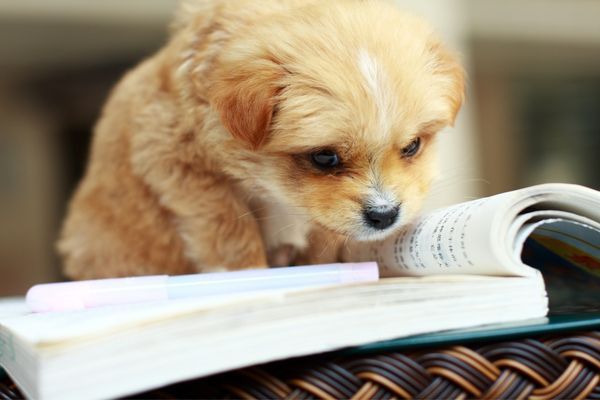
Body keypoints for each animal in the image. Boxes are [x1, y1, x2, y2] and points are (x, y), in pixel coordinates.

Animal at [58, 0, 466, 278]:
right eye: (325, 158)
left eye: (412, 146)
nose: (384, 215)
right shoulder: (175, 161)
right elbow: (229, 229)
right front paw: (249, 274)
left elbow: (322, 239)